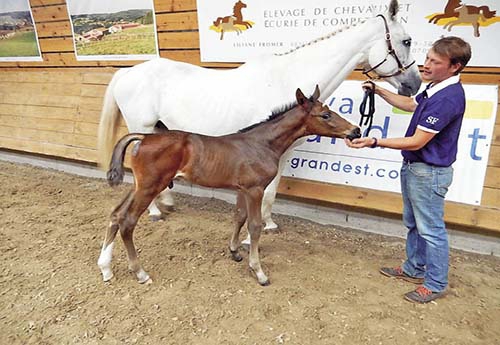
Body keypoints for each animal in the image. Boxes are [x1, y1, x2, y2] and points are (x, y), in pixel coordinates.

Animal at [95, 0, 420, 250]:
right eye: (406, 41)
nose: (414, 85)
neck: (287, 78)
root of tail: (127, 72)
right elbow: (268, 193)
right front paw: (255, 234)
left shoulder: (284, 153)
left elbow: (272, 193)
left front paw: (269, 224)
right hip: (141, 127)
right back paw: (154, 211)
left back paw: (168, 202)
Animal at [97, 86, 362, 284]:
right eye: (325, 115)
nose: (356, 130)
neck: (261, 143)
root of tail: (144, 137)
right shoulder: (255, 190)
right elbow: (255, 225)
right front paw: (259, 271)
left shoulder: (242, 189)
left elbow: (239, 217)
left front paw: (234, 252)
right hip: (149, 187)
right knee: (128, 221)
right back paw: (140, 272)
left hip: (140, 185)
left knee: (115, 214)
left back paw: (106, 268)